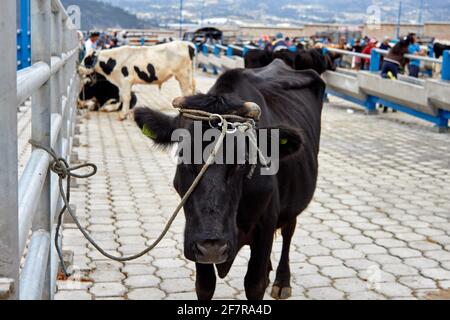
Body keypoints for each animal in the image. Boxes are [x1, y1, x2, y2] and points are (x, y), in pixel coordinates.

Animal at [134, 60, 326, 300]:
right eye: (182, 156)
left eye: (242, 161)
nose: (212, 247)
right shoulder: (194, 234)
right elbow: (204, 285)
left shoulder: (265, 224)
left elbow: (254, 283)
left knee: (289, 230)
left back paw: (282, 281)